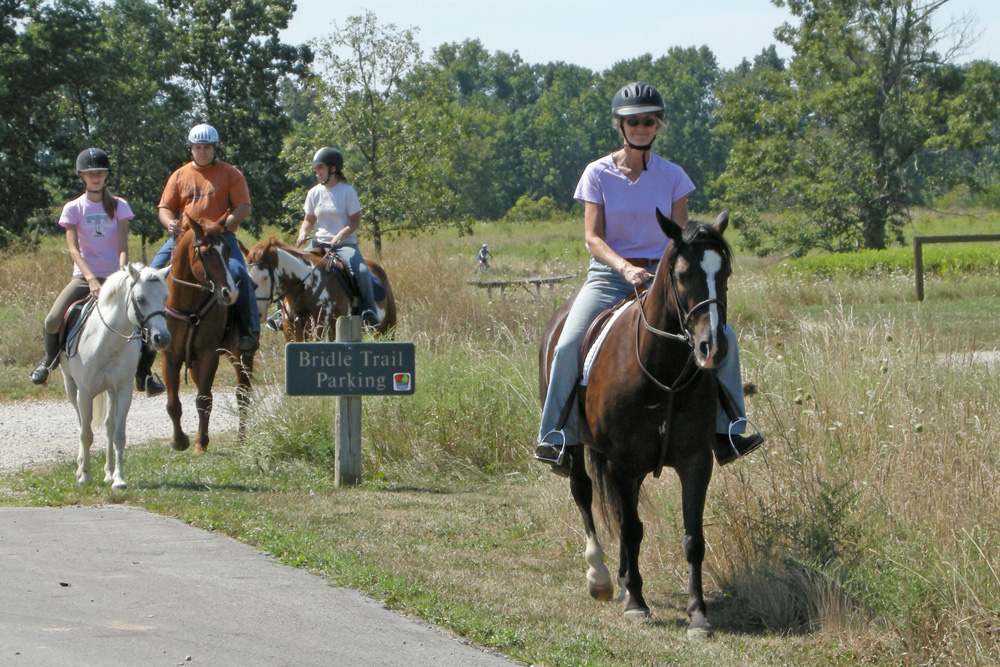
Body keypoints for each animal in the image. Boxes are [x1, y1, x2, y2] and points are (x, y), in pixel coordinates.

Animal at [60, 264, 171, 490]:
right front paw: (85, 476)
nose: (161, 338)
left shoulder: (122, 390)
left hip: (110, 391)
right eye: (140, 299)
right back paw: (80, 468)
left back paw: (108, 472)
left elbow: (119, 435)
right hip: (71, 387)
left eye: (165, 297)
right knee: (81, 424)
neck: (106, 340)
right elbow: (86, 434)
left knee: (109, 427)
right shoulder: (84, 393)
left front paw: (119, 479)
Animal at [160, 214, 254, 454]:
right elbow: (173, 403)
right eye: (205, 252)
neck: (187, 306)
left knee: (243, 394)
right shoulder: (170, 355)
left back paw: (241, 438)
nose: (230, 292)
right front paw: (179, 440)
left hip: (241, 354)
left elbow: (204, 399)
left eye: (228, 249)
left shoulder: (209, 354)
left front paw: (200, 443)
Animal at [540, 211, 736, 640]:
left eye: (726, 272)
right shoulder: (623, 462)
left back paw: (622, 578)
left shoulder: (696, 461)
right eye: (682, 274)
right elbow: (631, 528)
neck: (664, 373)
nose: (712, 348)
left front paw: (698, 616)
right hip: (576, 447)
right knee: (584, 494)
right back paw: (600, 578)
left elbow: (693, 538)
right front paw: (636, 603)